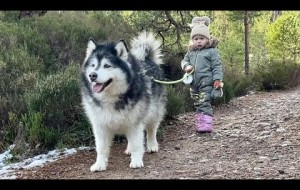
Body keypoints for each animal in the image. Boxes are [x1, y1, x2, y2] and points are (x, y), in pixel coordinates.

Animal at [80, 31, 166, 172]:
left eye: (107, 65)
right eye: (93, 65)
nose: (92, 75)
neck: (111, 97)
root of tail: (148, 59)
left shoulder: (135, 122)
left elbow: (137, 144)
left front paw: (136, 161)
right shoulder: (100, 125)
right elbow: (101, 148)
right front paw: (100, 164)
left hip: (153, 111)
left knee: (151, 129)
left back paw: (152, 145)